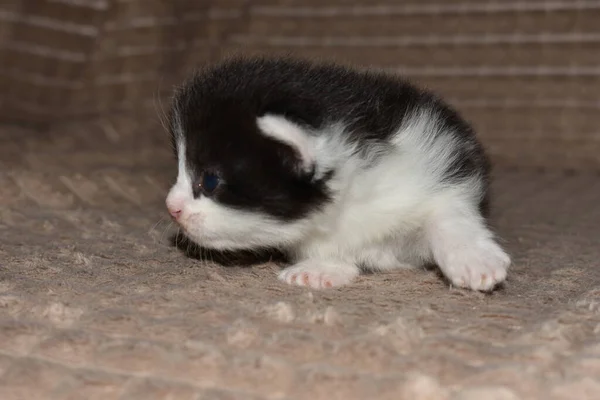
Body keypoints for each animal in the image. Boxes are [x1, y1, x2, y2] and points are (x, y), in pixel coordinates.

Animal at [165, 55, 510, 290]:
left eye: (209, 181)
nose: (172, 207)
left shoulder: (439, 161)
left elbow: (447, 212)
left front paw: (473, 260)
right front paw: (323, 267)